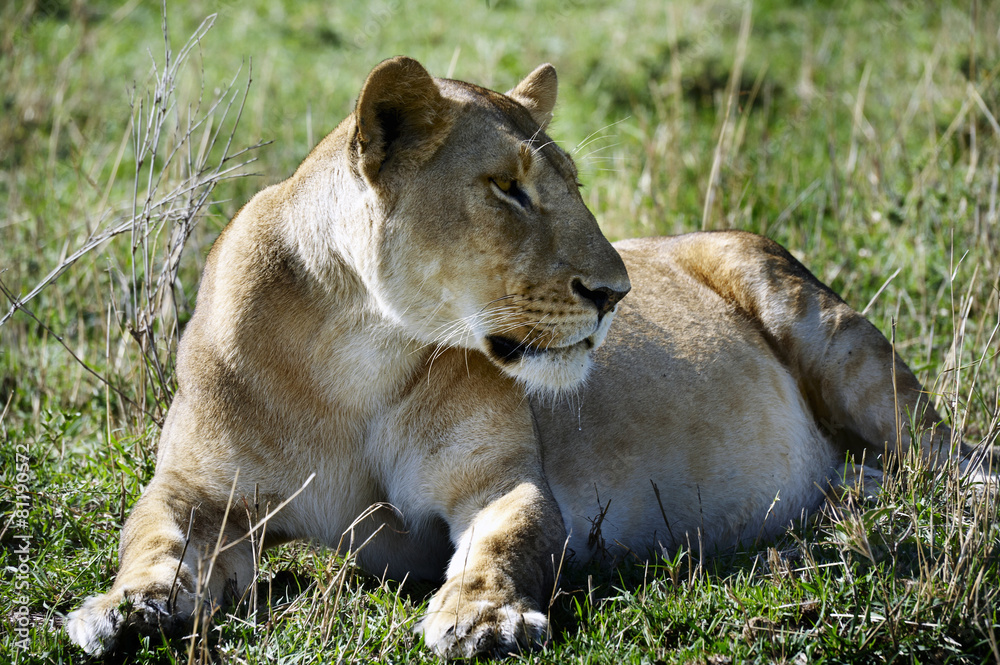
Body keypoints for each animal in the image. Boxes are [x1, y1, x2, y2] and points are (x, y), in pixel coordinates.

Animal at [66, 56, 981, 659]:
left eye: (571, 182)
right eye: (507, 187)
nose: (614, 292)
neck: (355, 358)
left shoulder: (499, 479)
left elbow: (505, 541)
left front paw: (483, 618)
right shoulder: (198, 489)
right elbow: (152, 537)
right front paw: (123, 607)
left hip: (826, 327)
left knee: (952, 455)